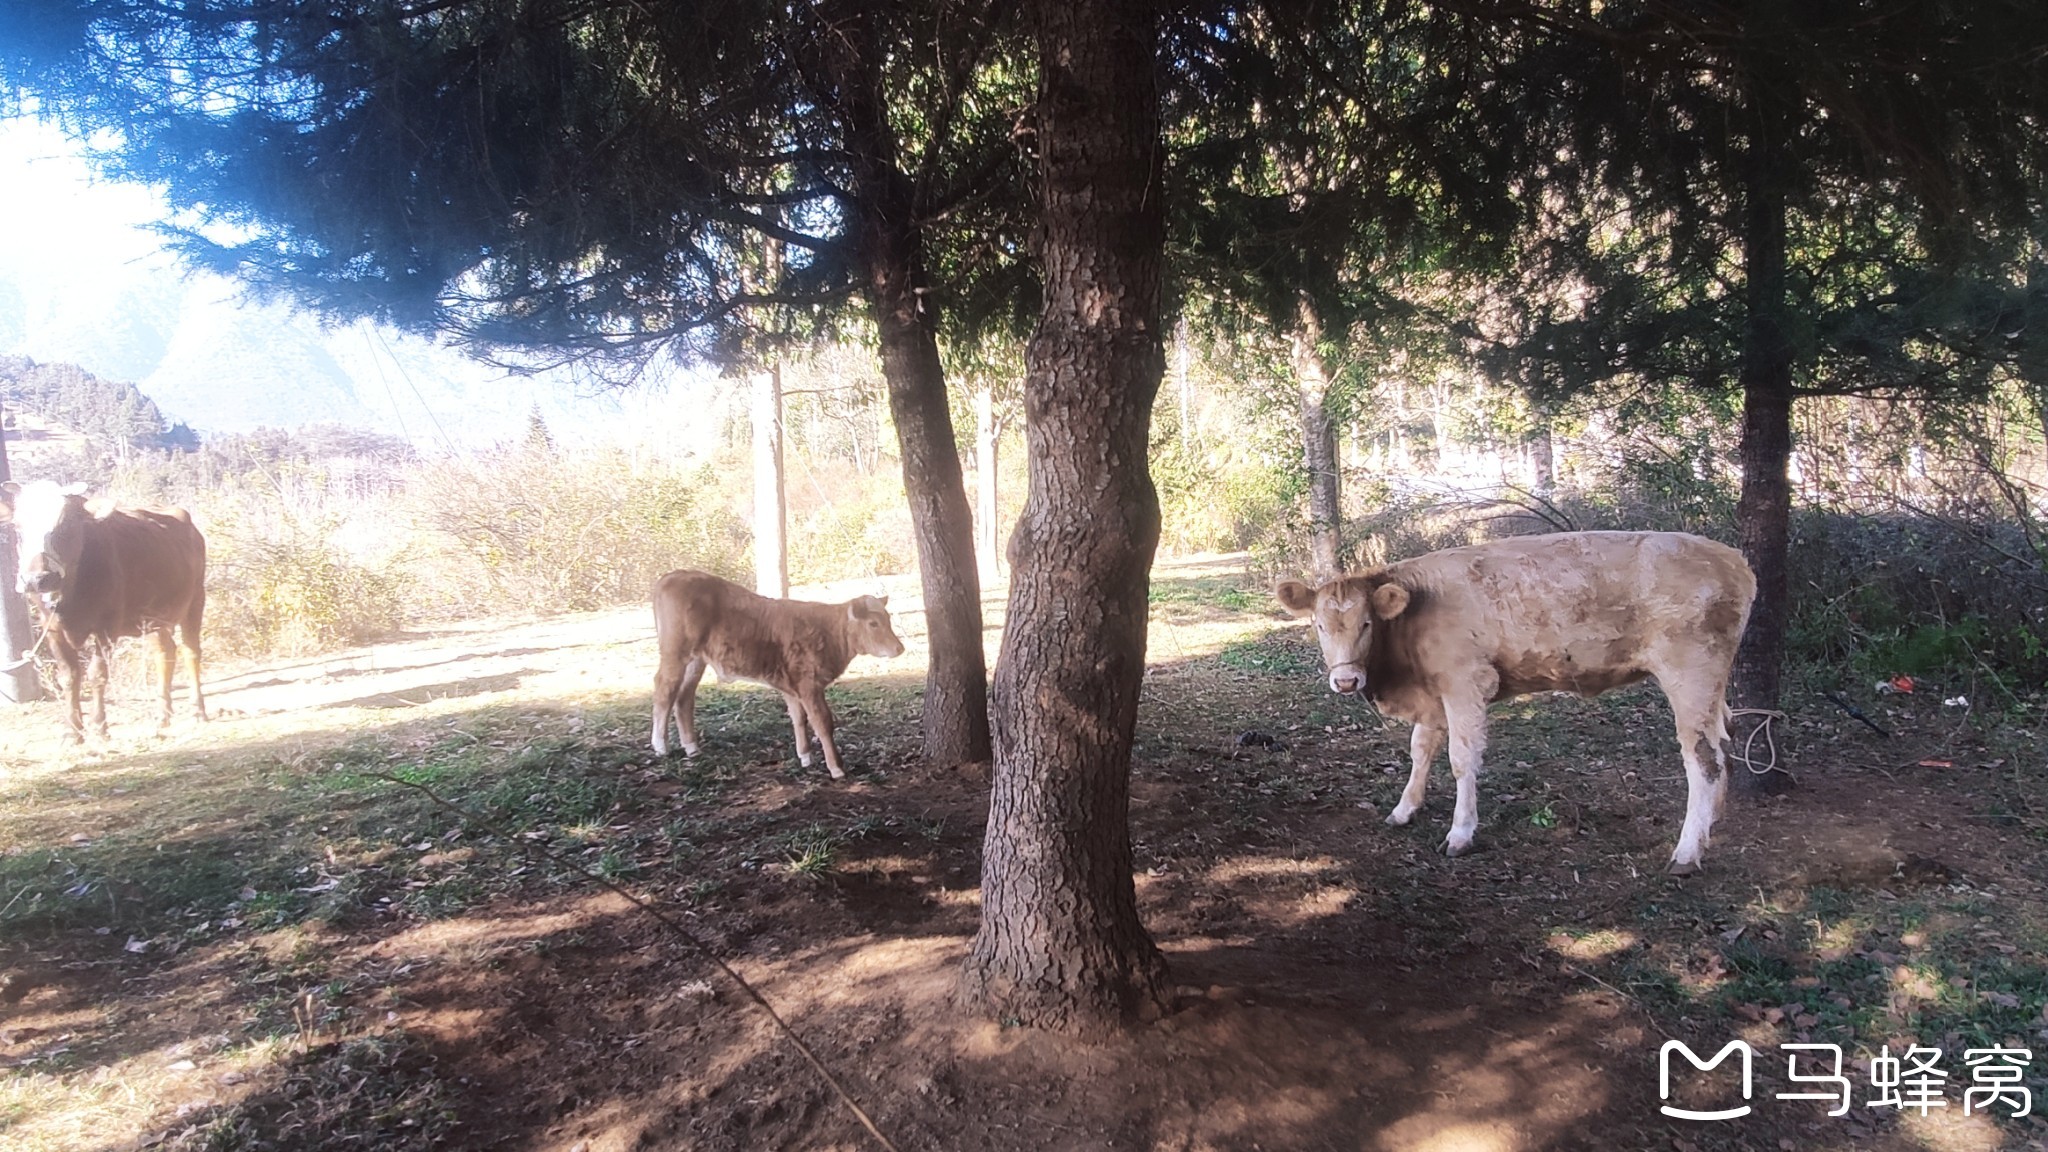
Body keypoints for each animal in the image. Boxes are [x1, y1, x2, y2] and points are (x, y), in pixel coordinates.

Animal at [2, 473, 209, 733]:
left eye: (66, 525)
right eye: (18, 528)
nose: (36, 579)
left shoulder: (107, 626)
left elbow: (97, 673)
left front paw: (99, 725)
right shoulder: (52, 629)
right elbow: (69, 676)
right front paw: (73, 730)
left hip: (195, 600)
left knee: (191, 651)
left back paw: (198, 710)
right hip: (155, 615)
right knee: (165, 653)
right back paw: (163, 715)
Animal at [647, 565, 905, 774]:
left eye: (888, 619)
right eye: (873, 623)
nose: (899, 647)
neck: (828, 631)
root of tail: (675, 575)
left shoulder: (792, 687)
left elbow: (799, 718)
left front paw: (805, 757)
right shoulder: (809, 684)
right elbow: (823, 722)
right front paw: (836, 767)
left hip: (695, 660)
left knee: (683, 696)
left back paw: (691, 747)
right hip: (675, 653)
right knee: (664, 689)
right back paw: (660, 745)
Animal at [1269, 528, 1753, 869]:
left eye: (1367, 623)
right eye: (1319, 625)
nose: (1346, 681)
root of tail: (1731, 557)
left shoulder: (1465, 683)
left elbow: (1461, 759)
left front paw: (1461, 833)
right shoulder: (1433, 693)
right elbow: (1420, 750)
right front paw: (1404, 809)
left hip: (1690, 675)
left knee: (1703, 757)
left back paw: (1687, 852)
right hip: (1712, 687)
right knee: (1724, 739)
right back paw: (1712, 822)